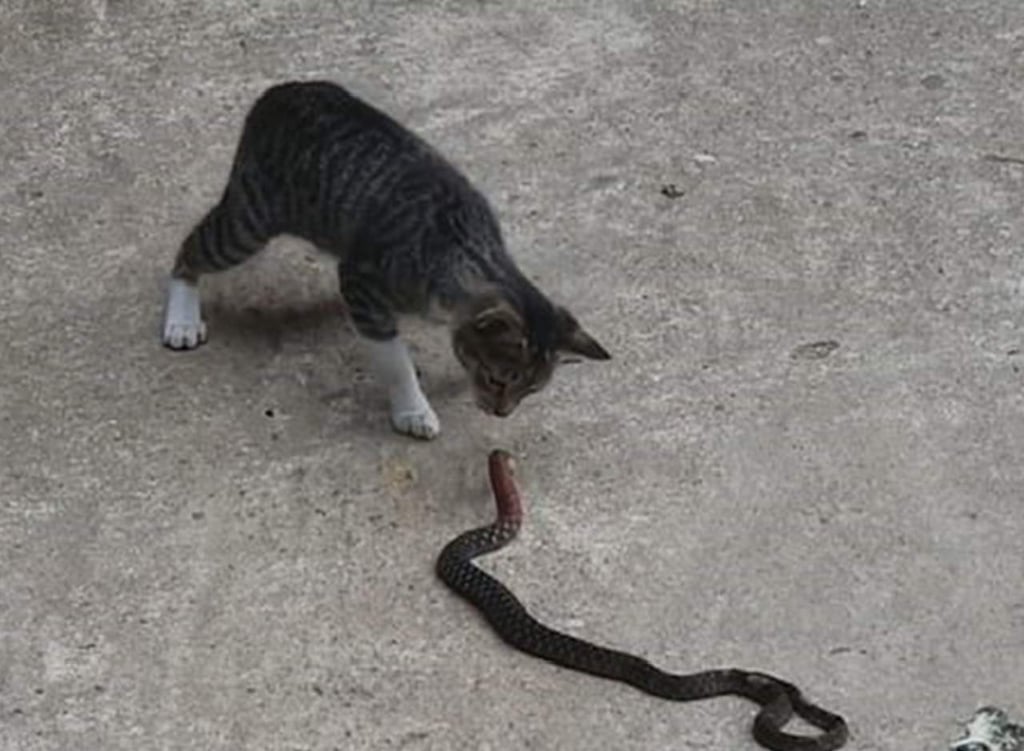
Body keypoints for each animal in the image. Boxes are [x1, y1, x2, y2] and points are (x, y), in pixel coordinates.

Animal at [160, 78, 606, 436]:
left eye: (530, 390)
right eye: (499, 381)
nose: (502, 413)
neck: (463, 251)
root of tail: (280, 92)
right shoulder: (364, 283)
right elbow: (396, 361)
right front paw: (413, 410)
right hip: (249, 220)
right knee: (191, 251)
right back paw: (182, 319)